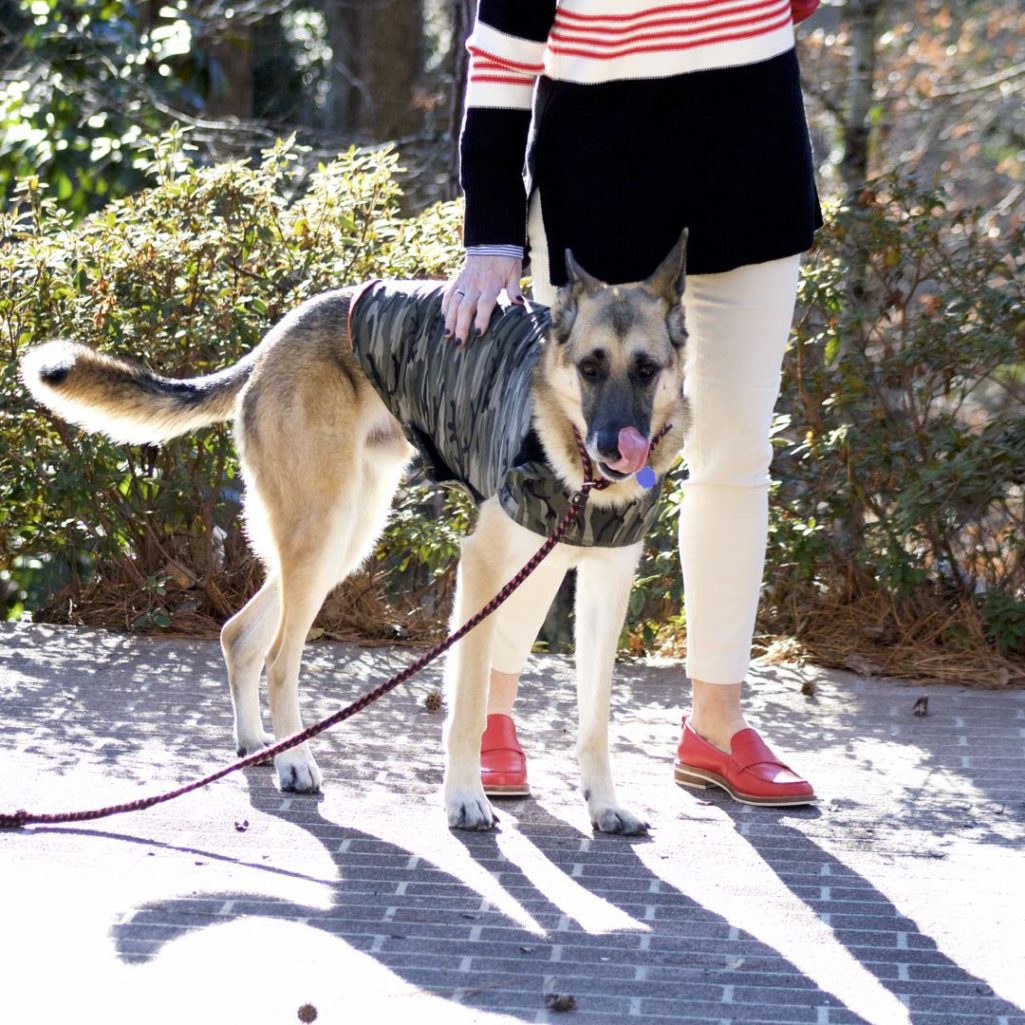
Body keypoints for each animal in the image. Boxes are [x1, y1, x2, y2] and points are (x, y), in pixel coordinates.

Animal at [18, 235, 688, 836]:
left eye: (646, 370)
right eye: (590, 367)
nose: (616, 447)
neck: (572, 451)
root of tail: (276, 336)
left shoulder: (604, 588)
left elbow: (595, 719)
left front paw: (605, 805)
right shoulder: (485, 568)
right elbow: (468, 704)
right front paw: (465, 799)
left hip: (342, 538)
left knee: (240, 635)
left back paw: (259, 744)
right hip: (323, 531)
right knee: (280, 660)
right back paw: (293, 760)